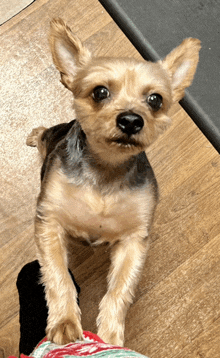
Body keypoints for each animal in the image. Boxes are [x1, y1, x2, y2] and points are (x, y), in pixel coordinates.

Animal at [26, 18, 201, 346]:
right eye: (100, 92)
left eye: (155, 99)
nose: (131, 120)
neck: (106, 169)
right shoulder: (49, 221)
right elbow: (58, 276)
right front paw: (65, 323)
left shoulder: (134, 239)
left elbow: (119, 290)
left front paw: (108, 337)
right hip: (48, 140)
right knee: (42, 135)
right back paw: (35, 135)